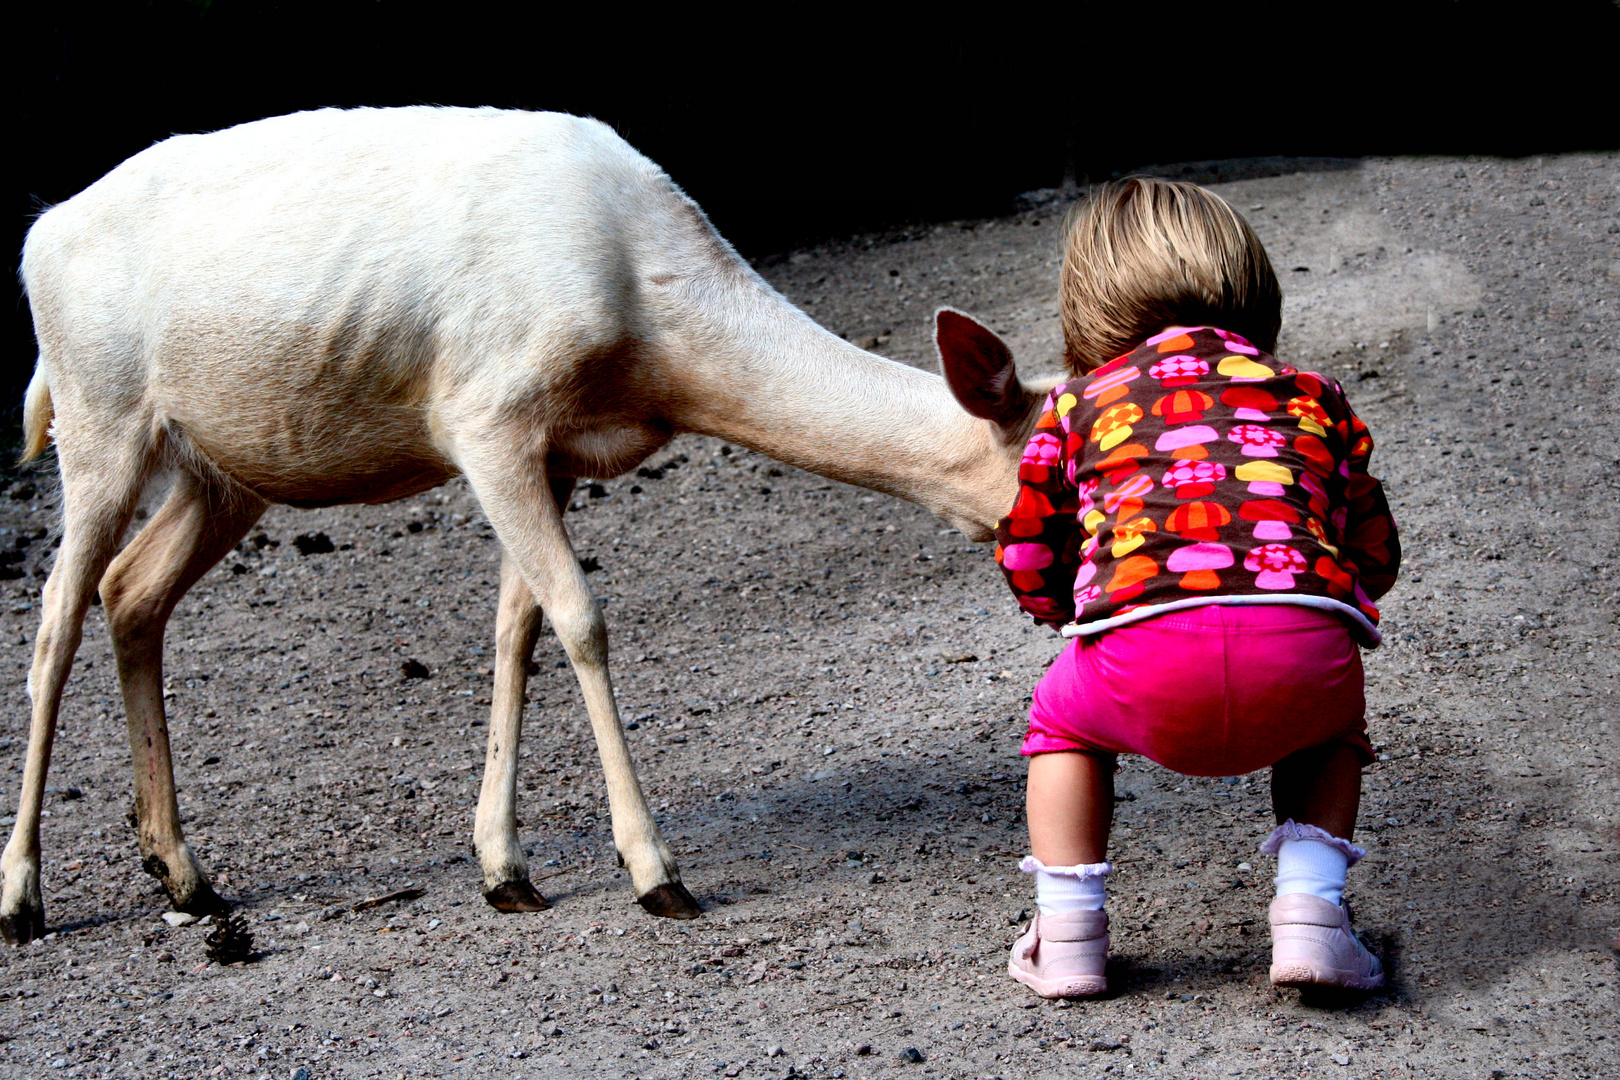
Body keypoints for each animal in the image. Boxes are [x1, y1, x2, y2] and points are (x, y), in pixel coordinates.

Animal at [0, 105, 1043, 939]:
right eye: (1051, 469)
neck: (650, 327)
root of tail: (40, 235)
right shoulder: (484, 417)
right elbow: (581, 617)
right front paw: (656, 874)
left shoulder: (558, 453)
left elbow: (518, 630)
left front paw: (505, 870)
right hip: (98, 417)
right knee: (55, 618)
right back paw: (23, 898)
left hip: (226, 470)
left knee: (132, 591)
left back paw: (184, 874)